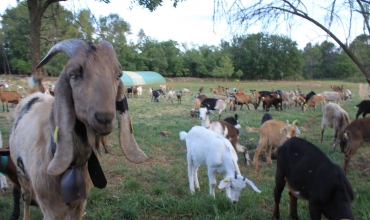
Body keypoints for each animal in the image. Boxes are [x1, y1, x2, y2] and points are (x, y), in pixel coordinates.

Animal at [8, 38, 147, 219]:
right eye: (73, 74)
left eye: (118, 75)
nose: (104, 119)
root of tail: (33, 95)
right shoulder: (51, 208)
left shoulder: (79, 204)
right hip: (21, 173)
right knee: (26, 196)